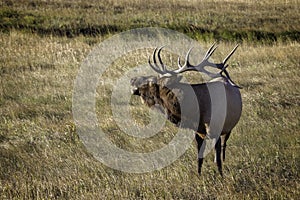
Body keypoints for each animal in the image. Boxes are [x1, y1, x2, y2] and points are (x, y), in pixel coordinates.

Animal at [130, 43, 243, 176]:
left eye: (151, 82)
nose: (132, 79)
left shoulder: (216, 129)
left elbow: (218, 160)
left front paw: (221, 176)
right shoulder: (198, 132)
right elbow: (199, 157)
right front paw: (199, 175)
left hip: (228, 128)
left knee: (224, 146)